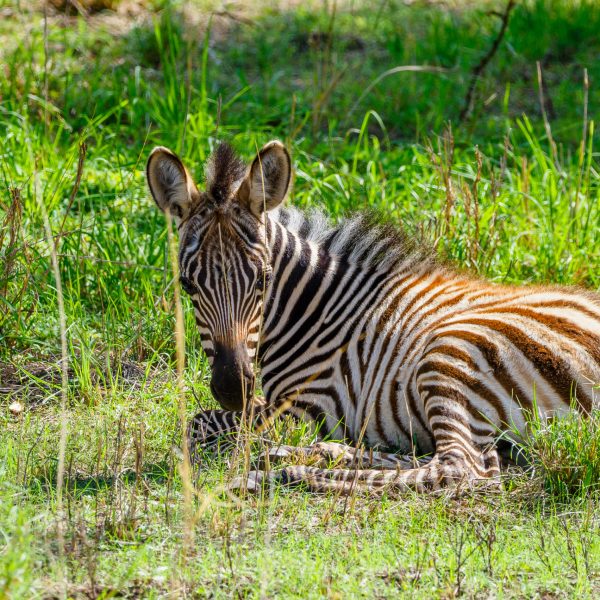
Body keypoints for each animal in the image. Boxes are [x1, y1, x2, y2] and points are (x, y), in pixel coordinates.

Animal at [146, 142, 600, 496]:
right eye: (187, 285)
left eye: (263, 279)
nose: (231, 387)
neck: (317, 312)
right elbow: (206, 419)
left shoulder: (309, 407)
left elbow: (201, 422)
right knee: (457, 460)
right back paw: (305, 454)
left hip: (451, 354)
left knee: (458, 469)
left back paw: (282, 473)